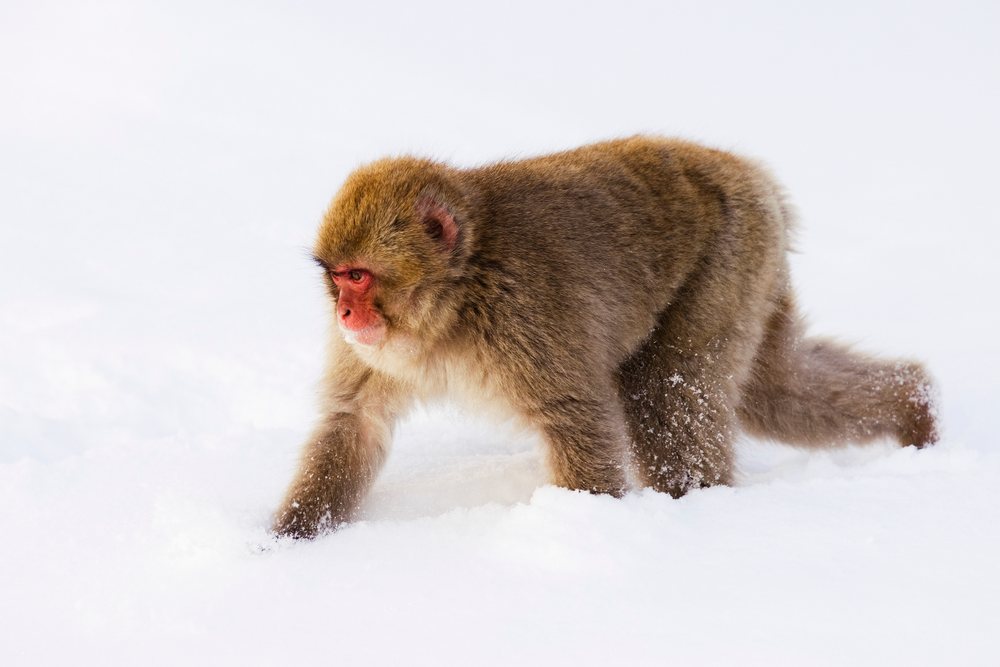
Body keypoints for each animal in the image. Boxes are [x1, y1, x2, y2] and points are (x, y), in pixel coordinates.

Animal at [271, 136, 938, 539]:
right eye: (336, 276)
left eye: (360, 276)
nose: (345, 314)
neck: (457, 295)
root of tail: (747, 171)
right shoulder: (374, 353)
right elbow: (354, 422)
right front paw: (288, 542)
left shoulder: (525, 314)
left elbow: (576, 418)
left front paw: (583, 527)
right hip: (757, 271)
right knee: (774, 389)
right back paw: (914, 404)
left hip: (731, 257)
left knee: (669, 393)